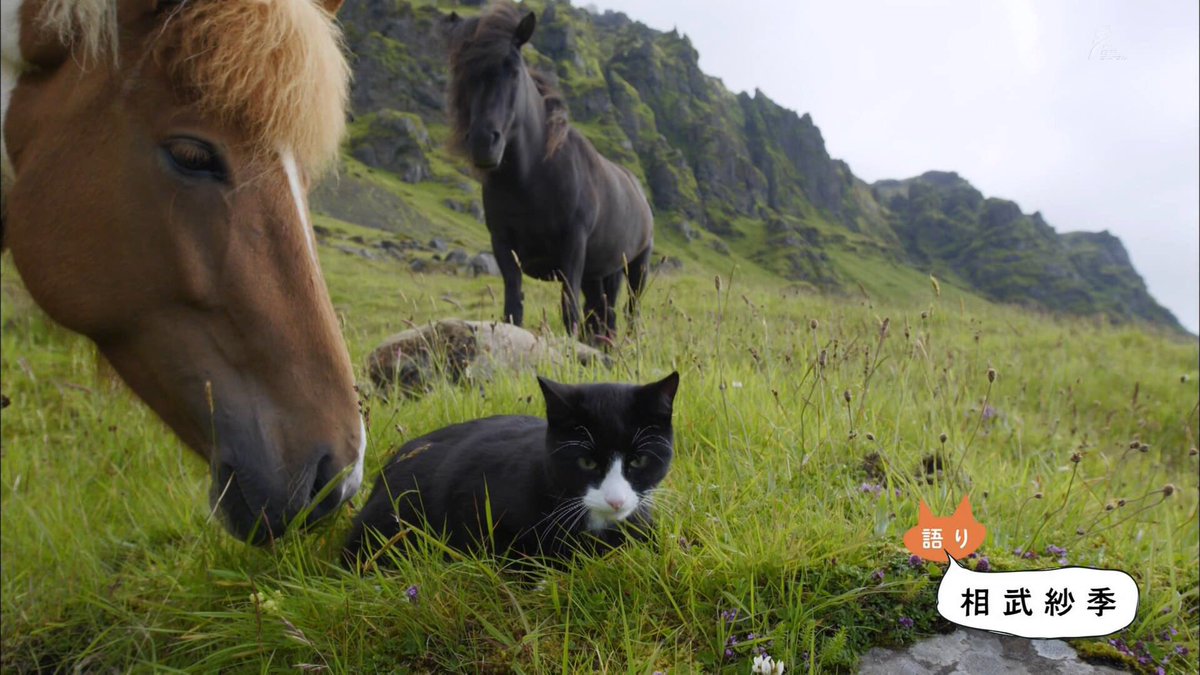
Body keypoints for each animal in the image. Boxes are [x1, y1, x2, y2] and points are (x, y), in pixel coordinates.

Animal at [448, 3, 657, 341]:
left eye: (512, 69)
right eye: (462, 71)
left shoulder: (572, 248)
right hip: (603, 272)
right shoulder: (504, 247)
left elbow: (568, 310)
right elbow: (513, 308)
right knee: (603, 314)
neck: (532, 177)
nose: (482, 142)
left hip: (637, 266)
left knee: (629, 312)